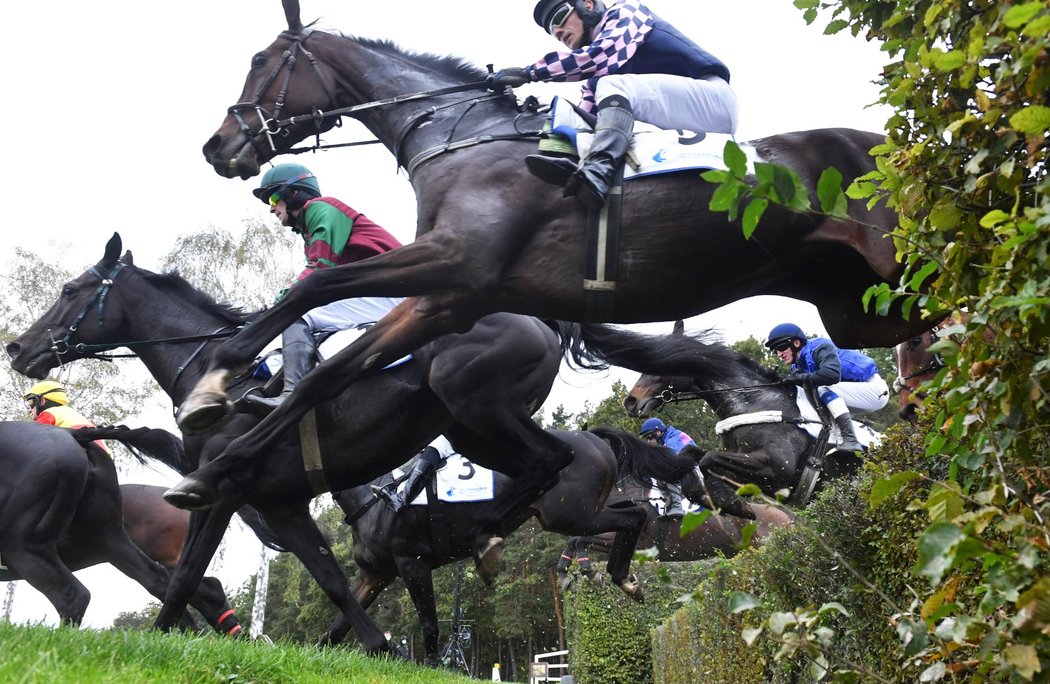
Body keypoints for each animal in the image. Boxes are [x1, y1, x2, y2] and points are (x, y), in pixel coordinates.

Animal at [172, 0, 928, 529]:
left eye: (262, 60)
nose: (218, 146)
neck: (462, 138)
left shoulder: (454, 261)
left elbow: (319, 283)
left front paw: (214, 380)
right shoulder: (449, 296)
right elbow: (327, 375)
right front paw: (214, 468)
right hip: (860, 307)